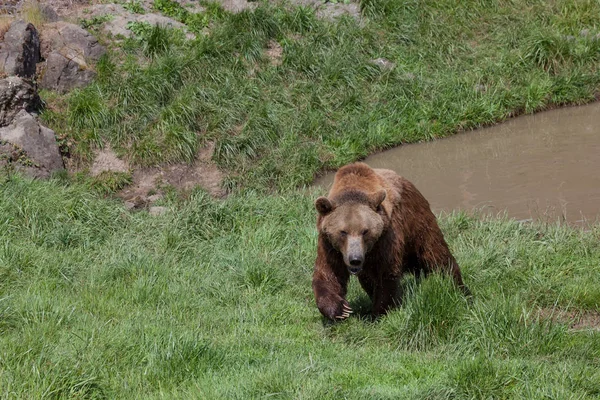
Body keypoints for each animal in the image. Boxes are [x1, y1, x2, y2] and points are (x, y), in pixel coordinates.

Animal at [314, 161, 468, 320]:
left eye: (365, 231)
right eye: (343, 232)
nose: (355, 259)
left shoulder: (386, 237)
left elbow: (386, 274)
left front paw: (380, 312)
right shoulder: (329, 245)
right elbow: (329, 273)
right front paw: (340, 309)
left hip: (418, 223)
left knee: (436, 256)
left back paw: (459, 289)